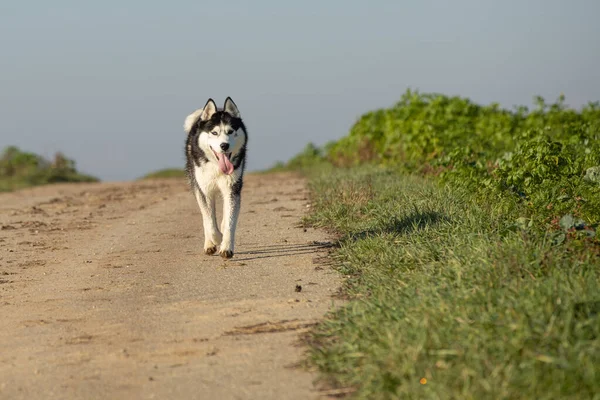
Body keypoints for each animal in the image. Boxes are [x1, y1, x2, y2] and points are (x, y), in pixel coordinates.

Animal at [184, 97, 247, 260]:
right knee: (206, 217)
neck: (217, 167)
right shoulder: (204, 191)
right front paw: (216, 239)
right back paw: (209, 244)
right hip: (197, 183)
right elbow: (209, 220)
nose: (224, 145)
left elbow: (230, 221)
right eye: (214, 132)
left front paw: (226, 247)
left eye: (230, 131)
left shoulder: (232, 189)